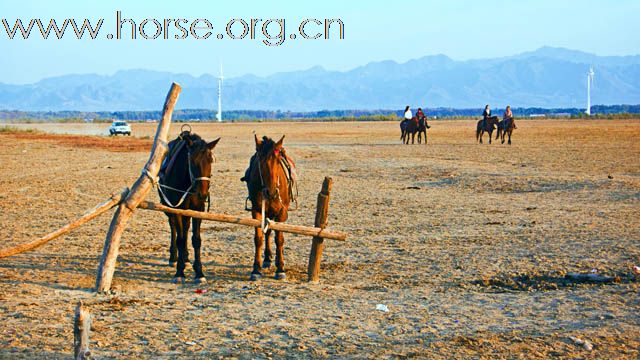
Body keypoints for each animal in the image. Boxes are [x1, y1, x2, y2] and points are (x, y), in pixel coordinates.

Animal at [159, 130, 221, 284]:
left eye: (210, 161)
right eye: (192, 162)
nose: (203, 194)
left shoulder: (198, 209)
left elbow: (196, 239)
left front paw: (199, 272)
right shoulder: (177, 209)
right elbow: (180, 239)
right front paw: (179, 272)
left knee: (185, 228)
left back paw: (186, 258)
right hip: (168, 207)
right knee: (174, 227)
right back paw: (174, 257)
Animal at [245, 135, 296, 282]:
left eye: (278, 162)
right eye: (260, 161)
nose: (271, 192)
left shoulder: (281, 212)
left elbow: (279, 239)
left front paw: (281, 269)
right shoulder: (256, 211)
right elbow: (259, 238)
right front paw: (256, 269)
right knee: (268, 232)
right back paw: (267, 258)